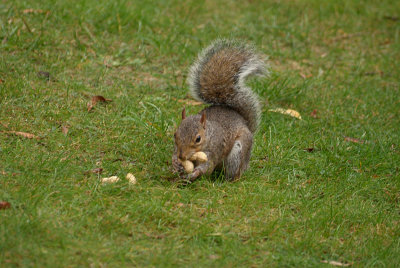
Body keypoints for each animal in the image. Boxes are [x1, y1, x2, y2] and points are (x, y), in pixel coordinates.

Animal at [171, 39, 266, 182]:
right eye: (175, 135)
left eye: (198, 139)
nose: (181, 156)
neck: (208, 136)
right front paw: (175, 163)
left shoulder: (214, 151)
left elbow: (206, 167)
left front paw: (195, 173)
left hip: (238, 152)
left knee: (234, 172)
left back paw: (226, 181)